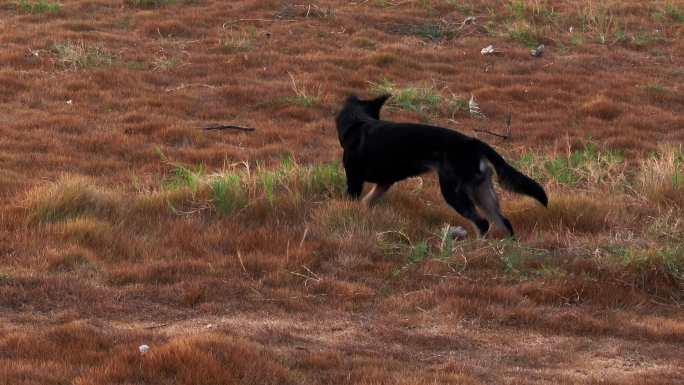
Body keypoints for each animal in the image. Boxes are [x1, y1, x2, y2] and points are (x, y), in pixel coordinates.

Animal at [334, 94, 548, 237]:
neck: (357, 123)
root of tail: (475, 143)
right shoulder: (384, 182)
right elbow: (367, 201)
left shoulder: (354, 179)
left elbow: (354, 200)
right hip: (482, 191)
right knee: (504, 223)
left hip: (453, 191)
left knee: (482, 223)